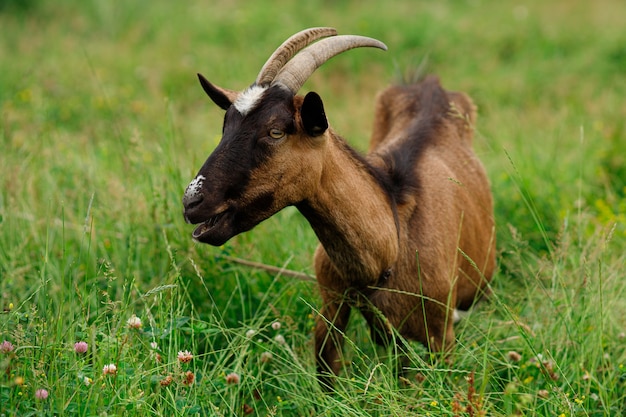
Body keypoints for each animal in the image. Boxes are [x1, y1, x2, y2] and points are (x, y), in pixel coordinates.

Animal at [183, 27, 494, 388]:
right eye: (225, 126)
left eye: (275, 131)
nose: (192, 201)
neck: (391, 245)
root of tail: (428, 84)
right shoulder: (332, 305)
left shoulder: (440, 334)